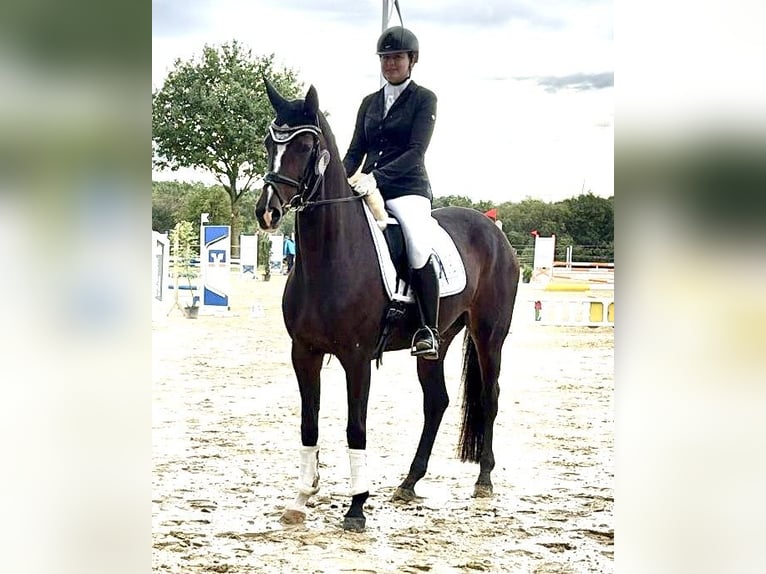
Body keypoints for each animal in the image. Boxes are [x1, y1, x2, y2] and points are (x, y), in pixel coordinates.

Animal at [254, 80, 520, 532]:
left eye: (306, 145)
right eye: (269, 143)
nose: (267, 212)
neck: (331, 256)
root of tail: (494, 230)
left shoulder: (357, 357)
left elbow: (355, 428)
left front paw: (357, 507)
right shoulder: (303, 353)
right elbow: (309, 425)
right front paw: (301, 499)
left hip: (489, 336)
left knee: (490, 395)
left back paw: (484, 479)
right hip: (438, 341)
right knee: (437, 401)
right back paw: (410, 481)